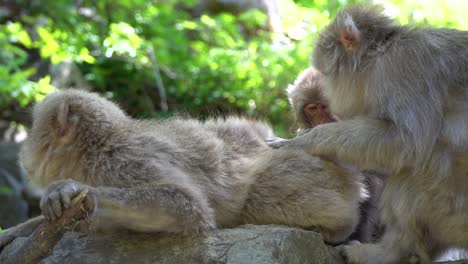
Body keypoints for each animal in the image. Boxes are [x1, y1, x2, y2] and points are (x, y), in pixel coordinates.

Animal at [270, 4, 468, 264]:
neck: (382, 55)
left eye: (327, 74)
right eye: (313, 108)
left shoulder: (403, 70)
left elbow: (405, 141)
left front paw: (304, 142)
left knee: (421, 162)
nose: (330, 101)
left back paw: (390, 252)